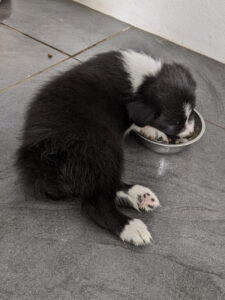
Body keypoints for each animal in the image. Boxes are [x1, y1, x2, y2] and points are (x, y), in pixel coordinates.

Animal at [15, 49, 196, 246]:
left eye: (191, 113)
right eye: (174, 124)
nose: (190, 131)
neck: (144, 80)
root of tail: (41, 161)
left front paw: (153, 132)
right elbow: (137, 122)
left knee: (103, 186)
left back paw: (140, 196)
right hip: (103, 147)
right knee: (95, 202)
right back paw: (131, 227)